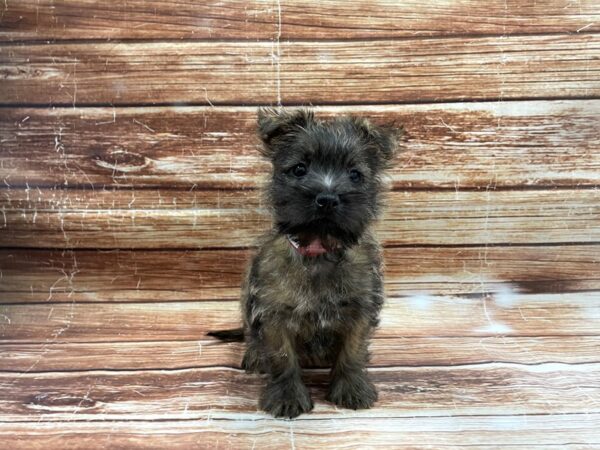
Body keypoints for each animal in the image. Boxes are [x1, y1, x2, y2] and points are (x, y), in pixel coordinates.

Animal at [209, 109, 400, 418]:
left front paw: (352, 388)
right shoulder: (273, 314)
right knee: (250, 334)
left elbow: (353, 351)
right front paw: (288, 396)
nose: (327, 199)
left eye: (355, 175)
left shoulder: (360, 311)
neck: (319, 250)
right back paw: (254, 356)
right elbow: (282, 358)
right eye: (299, 169)